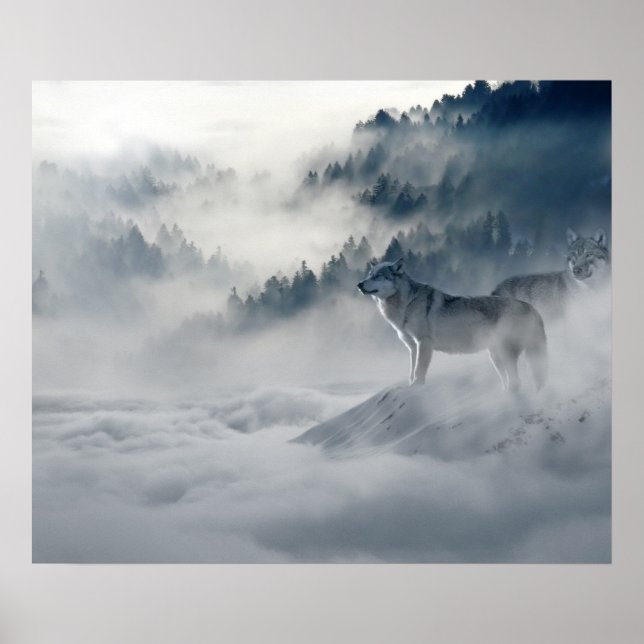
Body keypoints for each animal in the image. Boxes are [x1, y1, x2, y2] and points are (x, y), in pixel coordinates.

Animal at [357, 258, 547, 391]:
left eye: (377, 276)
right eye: (369, 275)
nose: (359, 284)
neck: (406, 303)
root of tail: (532, 308)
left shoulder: (424, 343)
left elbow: (419, 371)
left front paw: (416, 388)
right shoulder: (412, 346)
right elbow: (411, 372)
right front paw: (409, 386)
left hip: (505, 353)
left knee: (517, 382)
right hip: (495, 357)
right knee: (511, 381)